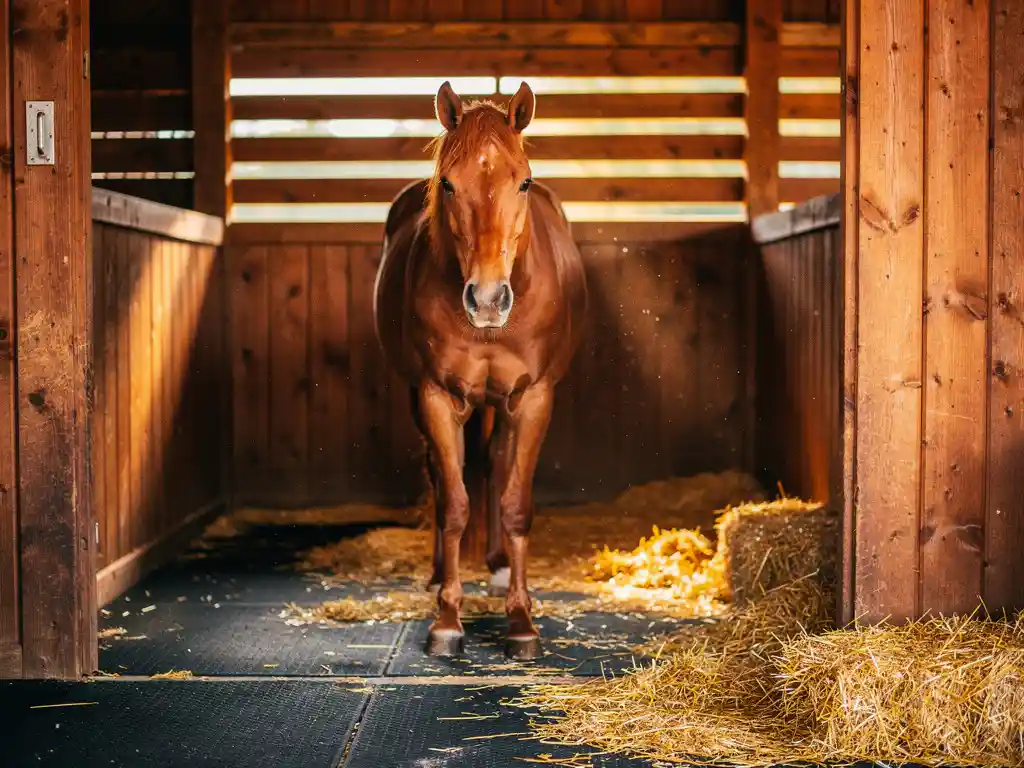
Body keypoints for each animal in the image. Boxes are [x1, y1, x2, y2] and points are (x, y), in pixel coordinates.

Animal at [373, 80, 588, 659]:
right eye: (448, 184)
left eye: (524, 181)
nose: (488, 299)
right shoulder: (435, 396)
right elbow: (453, 504)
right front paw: (447, 618)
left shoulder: (534, 398)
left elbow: (516, 504)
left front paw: (521, 622)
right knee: (443, 472)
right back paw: (439, 575)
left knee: (494, 465)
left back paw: (498, 569)